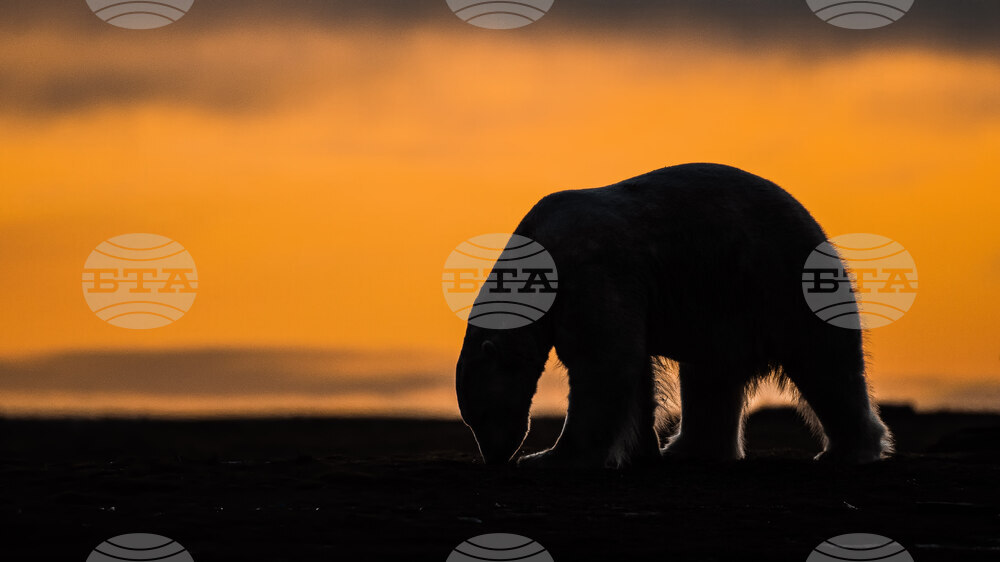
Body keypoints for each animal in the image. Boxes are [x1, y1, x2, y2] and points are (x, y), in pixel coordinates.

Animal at [455, 163, 892, 467]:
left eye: (480, 414)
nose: (496, 456)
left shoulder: (590, 267)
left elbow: (603, 360)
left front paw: (550, 456)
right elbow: (634, 370)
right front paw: (641, 450)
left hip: (780, 282)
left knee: (824, 362)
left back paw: (847, 451)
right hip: (722, 305)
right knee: (710, 377)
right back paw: (689, 449)